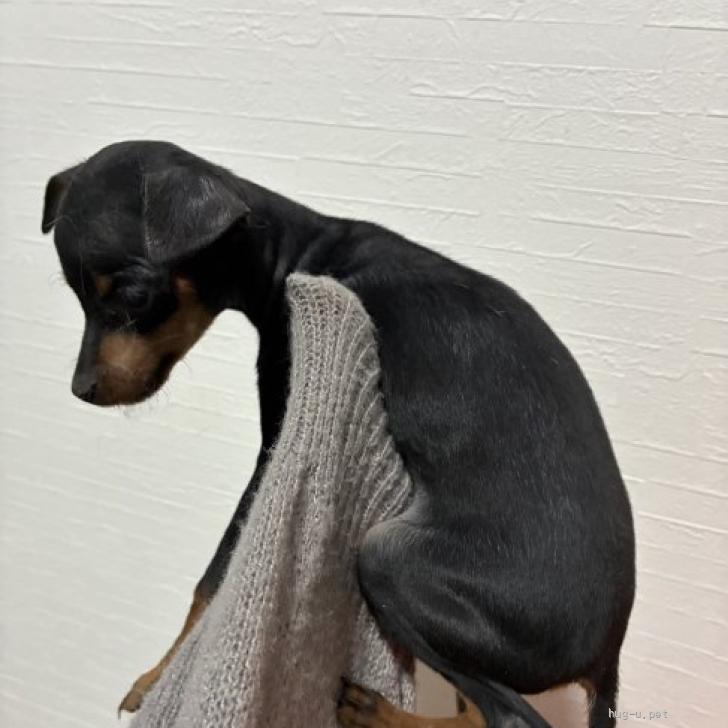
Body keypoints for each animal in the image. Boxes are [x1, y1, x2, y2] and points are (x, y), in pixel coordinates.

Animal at [42, 140, 635, 728]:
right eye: (75, 295)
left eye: (134, 295)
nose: (81, 389)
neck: (294, 254)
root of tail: (607, 658)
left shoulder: (277, 433)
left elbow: (215, 573)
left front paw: (156, 677)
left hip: (387, 559)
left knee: (508, 717)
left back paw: (378, 713)